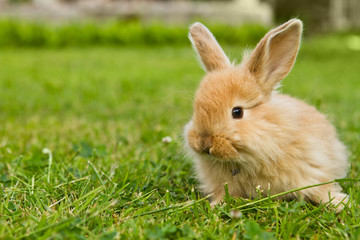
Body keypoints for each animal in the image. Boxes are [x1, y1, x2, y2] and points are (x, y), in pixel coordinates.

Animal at [184, 18, 350, 210]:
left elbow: (320, 189)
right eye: (195, 110)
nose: (204, 143)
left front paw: (340, 203)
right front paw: (215, 205)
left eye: (237, 112)